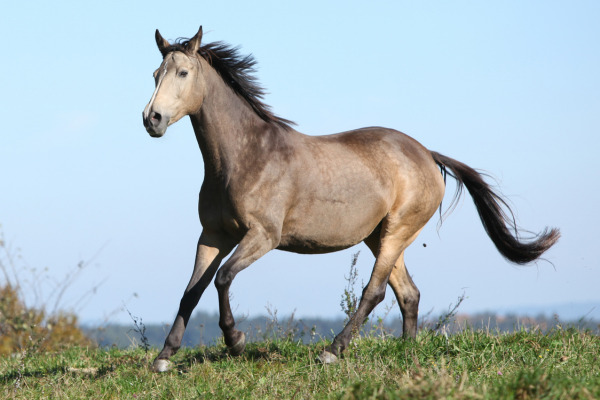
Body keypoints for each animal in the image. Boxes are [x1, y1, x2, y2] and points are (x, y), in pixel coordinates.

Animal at [141, 27, 556, 372]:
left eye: (182, 73)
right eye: (155, 74)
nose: (152, 119)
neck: (245, 157)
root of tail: (426, 153)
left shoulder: (262, 236)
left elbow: (223, 278)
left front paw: (236, 341)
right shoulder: (213, 235)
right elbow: (191, 291)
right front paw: (164, 357)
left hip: (396, 231)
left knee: (375, 291)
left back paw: (333, 350)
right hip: (381, 237)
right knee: (408, 293)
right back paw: (406, 351)